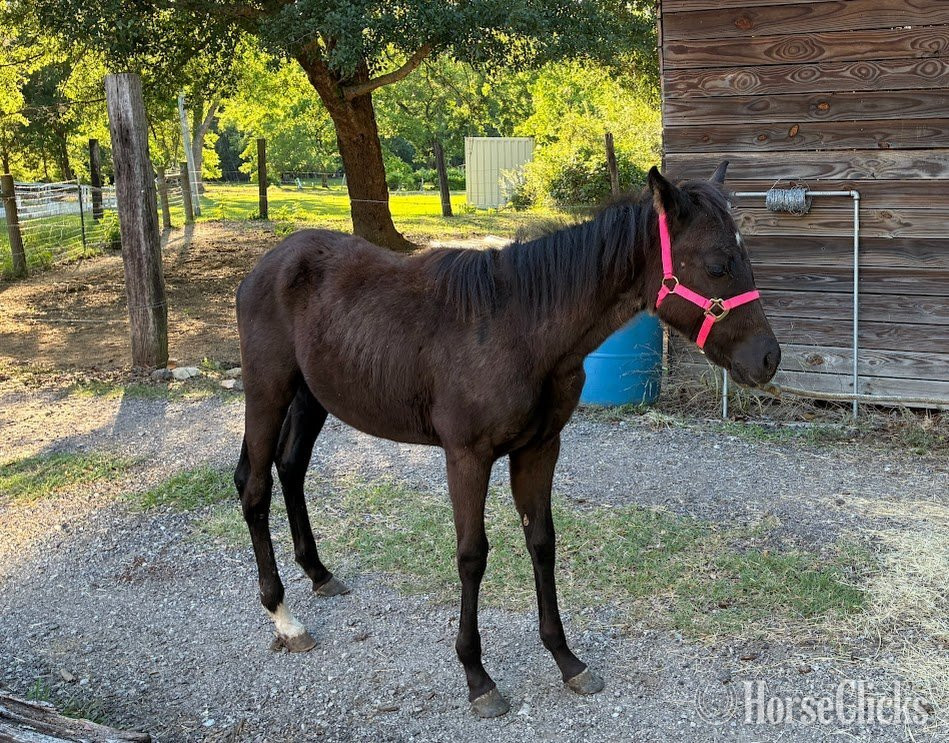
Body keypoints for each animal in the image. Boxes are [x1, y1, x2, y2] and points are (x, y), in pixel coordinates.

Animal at [233, 162, 780, 717]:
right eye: (718, 264)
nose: (768, 358)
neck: (519, 328)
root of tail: (268, 263)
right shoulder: (467, 456)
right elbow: (472, 555)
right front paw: (477, 676)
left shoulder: (540, 448)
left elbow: (542, 542)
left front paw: (566, 659)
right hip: (267, 389)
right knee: (255, 488)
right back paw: (284, 616)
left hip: (311, 397)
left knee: (289, 468)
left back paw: (318, 574)